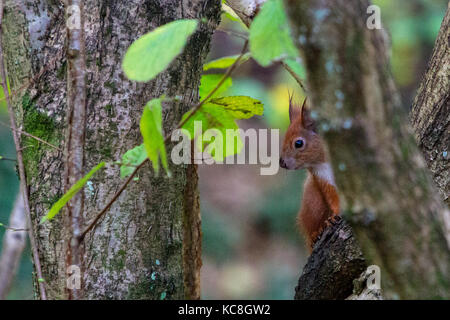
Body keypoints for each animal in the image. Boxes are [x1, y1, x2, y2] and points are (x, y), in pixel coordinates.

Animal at [280, 96, 340, 251]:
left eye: (298, 143)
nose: (281, 163)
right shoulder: (322, 177)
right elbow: (333, 198)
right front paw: (335, 215)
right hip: (313, 202)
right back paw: (316, 234)